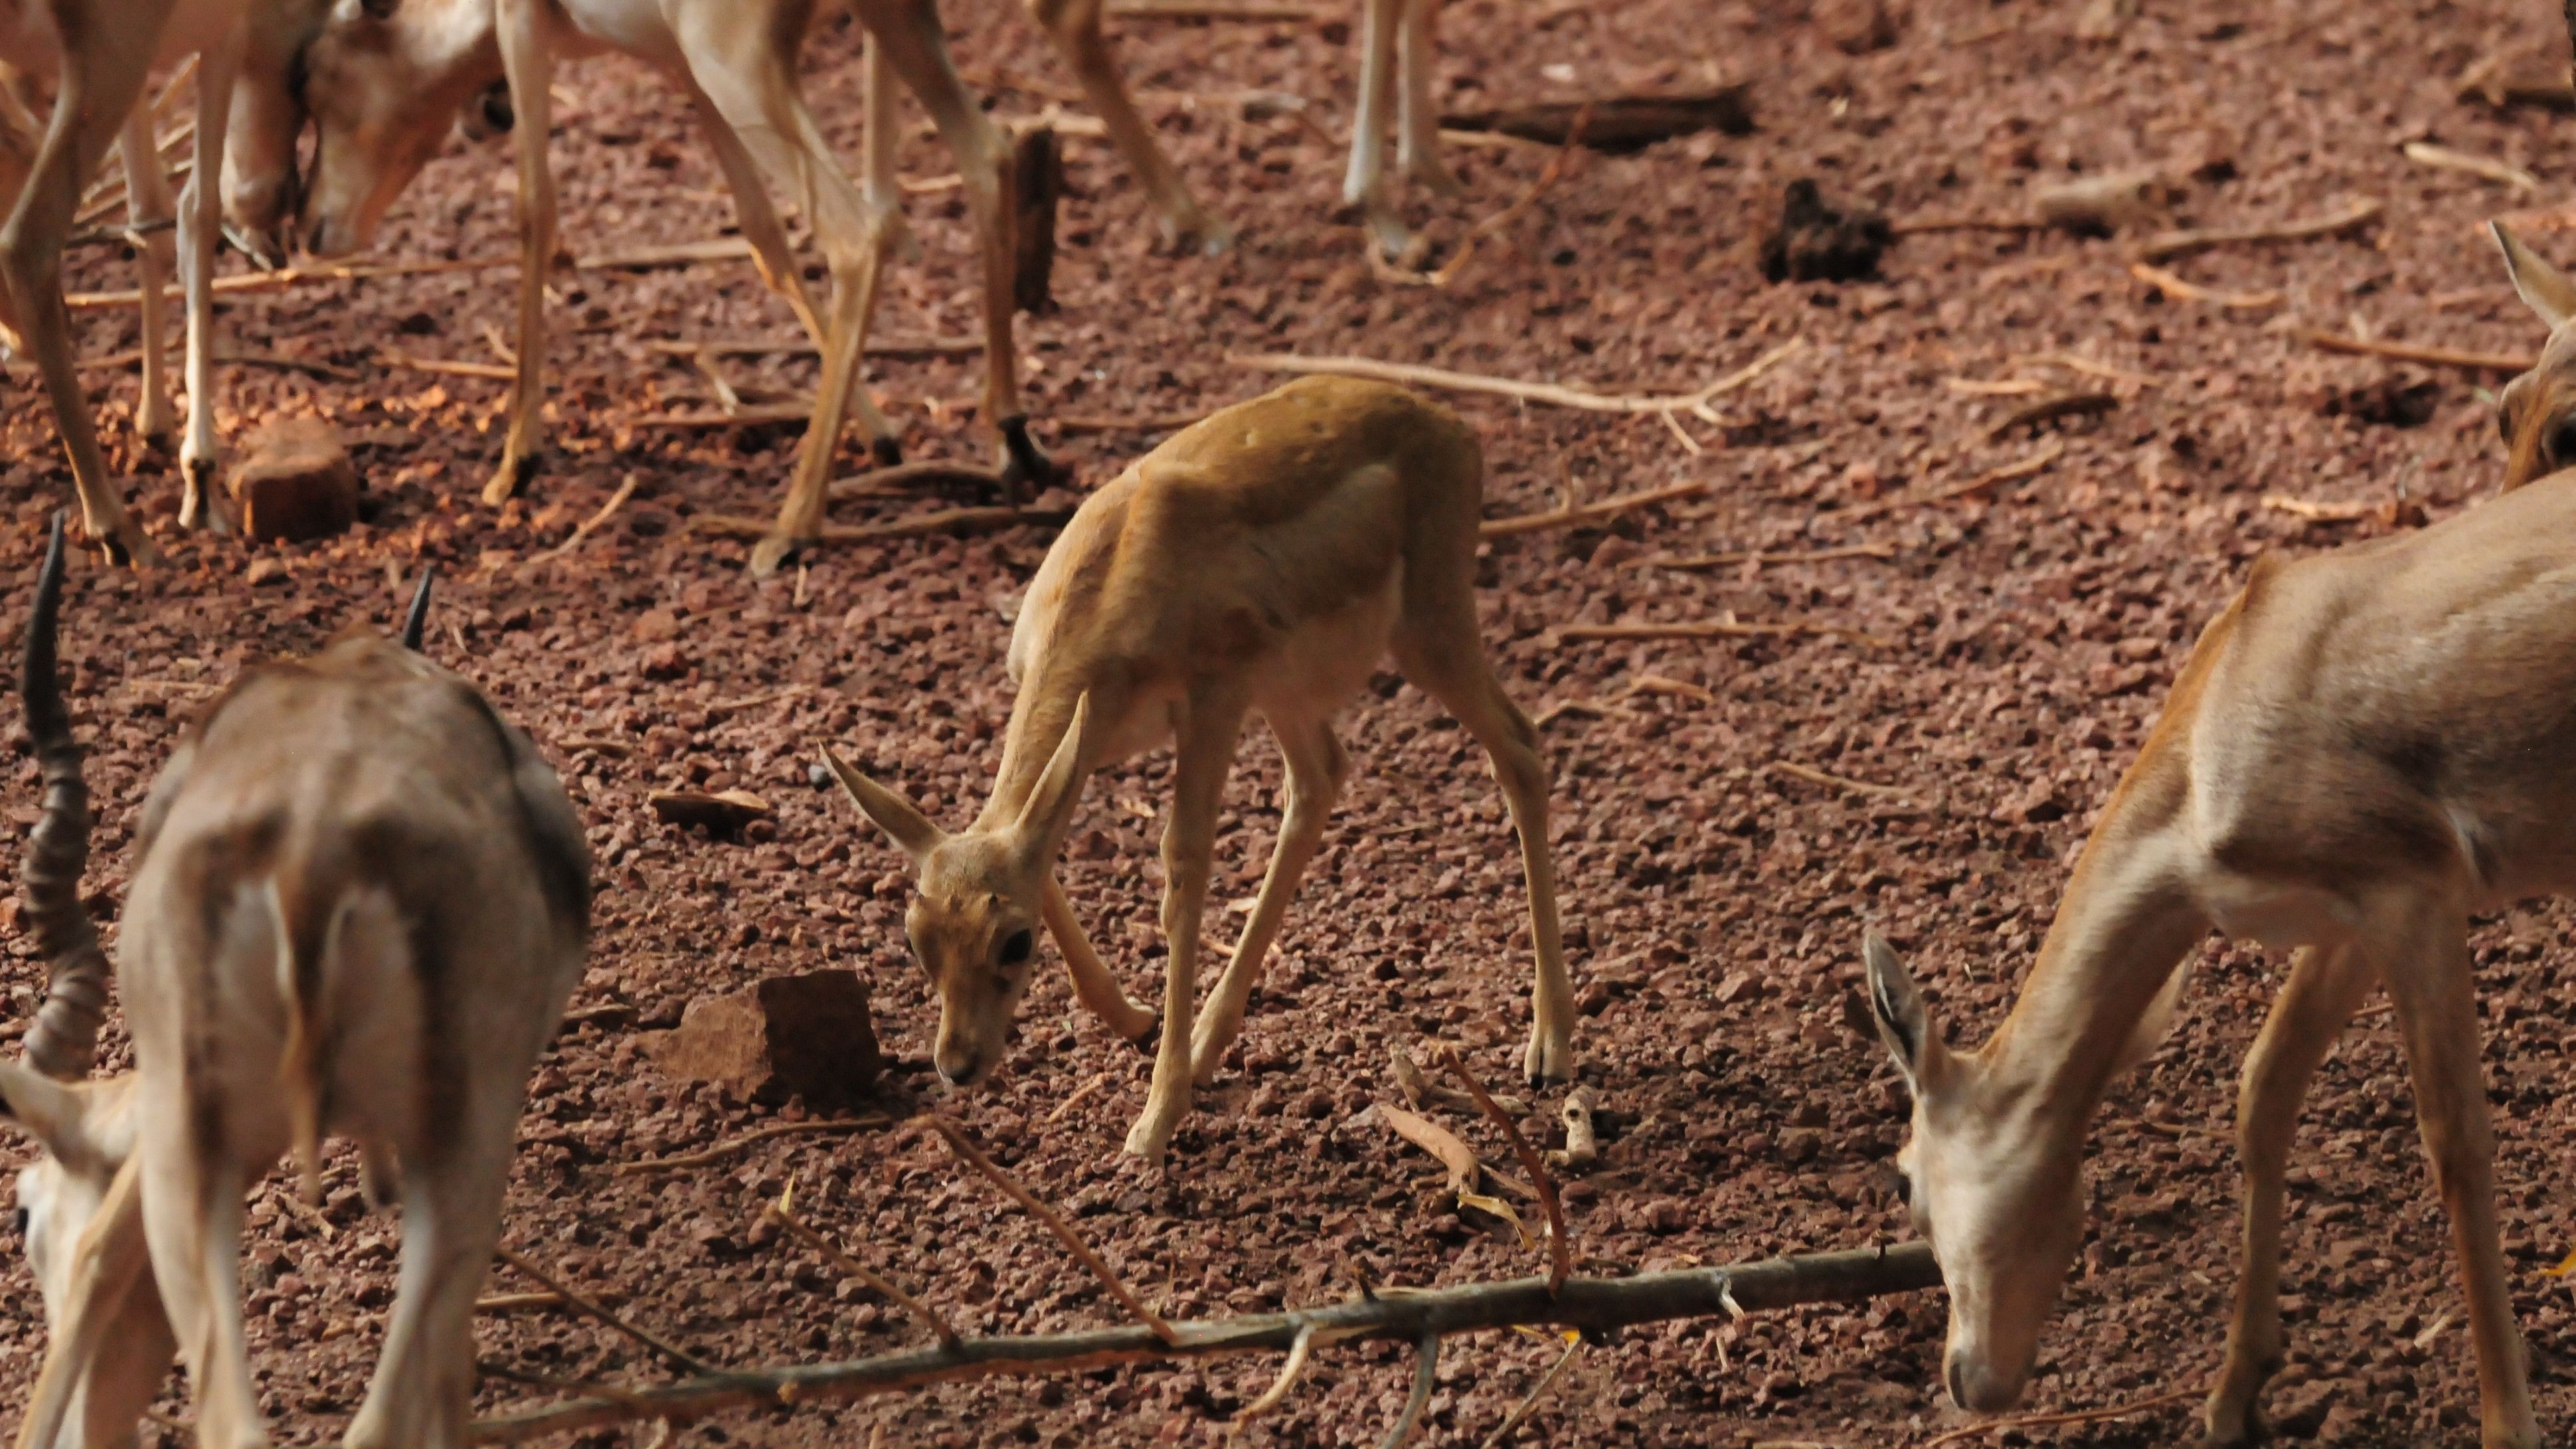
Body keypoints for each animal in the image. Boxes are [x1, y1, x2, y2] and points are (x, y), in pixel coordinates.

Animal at [0, 522, 590, 1449]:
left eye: (21, 1217)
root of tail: (315, 844)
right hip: (464, 1154)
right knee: (384, 1415)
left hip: (193, 1163)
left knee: (235, 1419)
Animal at [824, 378, 1566, 1168]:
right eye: (915, 938)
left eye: (1015, 942)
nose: (957, 1064)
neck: (1110, 585)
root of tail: (1449, 422)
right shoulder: (1078, 743)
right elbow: (1041, 852)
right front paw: (1135, 1020)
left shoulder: (1210, 702)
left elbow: (1182, 871)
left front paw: (1153, 1122)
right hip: (1289, 693)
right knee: (1320, 782)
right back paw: (1211, 1042)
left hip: (1425, 632)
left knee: (1519, 748)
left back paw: (1551, 1048)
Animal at [1854, 226, 2576, 1449]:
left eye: (1904, 1177)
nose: (1964, 1377)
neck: (2199, 774)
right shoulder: (2340, 918)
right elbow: (2259, 1087)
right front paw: (2232, 1393)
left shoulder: (2415, 894)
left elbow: (2454, 1145)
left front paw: (2503, 1421)